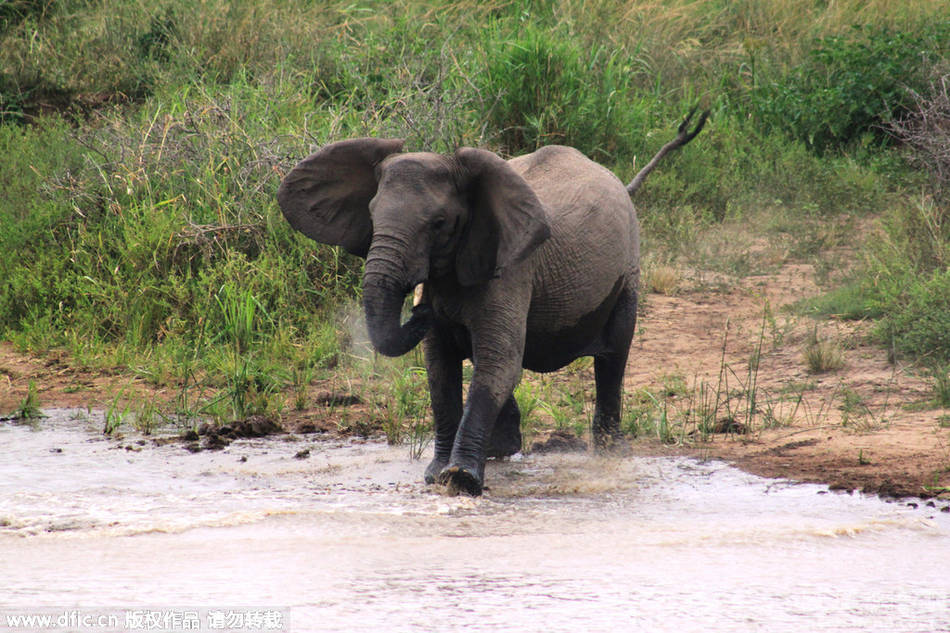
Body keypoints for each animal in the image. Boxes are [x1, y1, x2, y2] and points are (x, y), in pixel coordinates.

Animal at [276, 110, 708, 494]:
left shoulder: (512, 269)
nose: (420, 307)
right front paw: (434, 476)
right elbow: (440, 370)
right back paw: (503, 450)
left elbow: (499, 362)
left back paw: (611, 454)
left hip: (629, 266)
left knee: (614, 354)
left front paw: (461, 480)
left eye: (438, 224)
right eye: (370, 213)